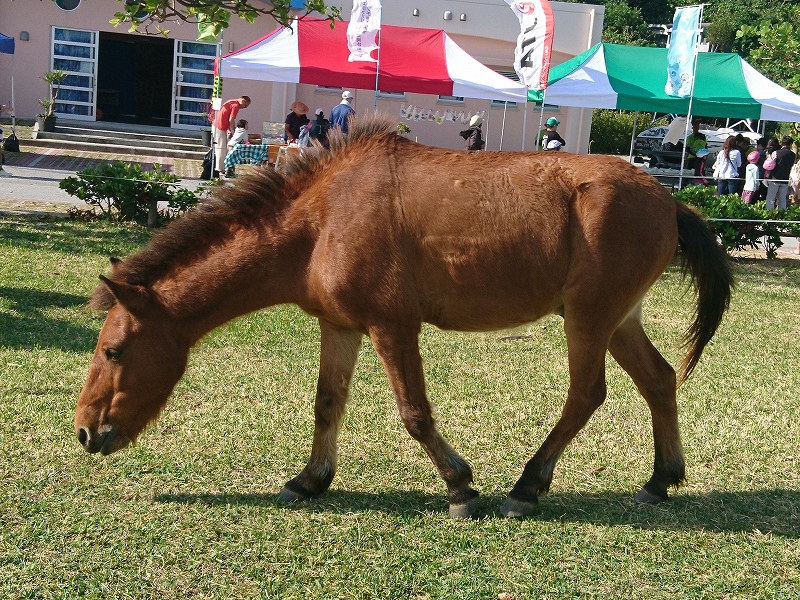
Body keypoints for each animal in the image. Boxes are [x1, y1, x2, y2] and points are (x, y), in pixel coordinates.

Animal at [73, 115, 732, 516]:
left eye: (113, 350)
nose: (85, 432)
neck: (321, 219)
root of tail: (669, 199)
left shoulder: (393, 327)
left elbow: (414, 413)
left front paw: (460, 486)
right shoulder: (339, 326)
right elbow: (327, 403)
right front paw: (310, 479)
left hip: (589, 320)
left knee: (587, 394)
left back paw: (527, 486)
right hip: (619, 320)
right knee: (659, 380)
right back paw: (659, 480)